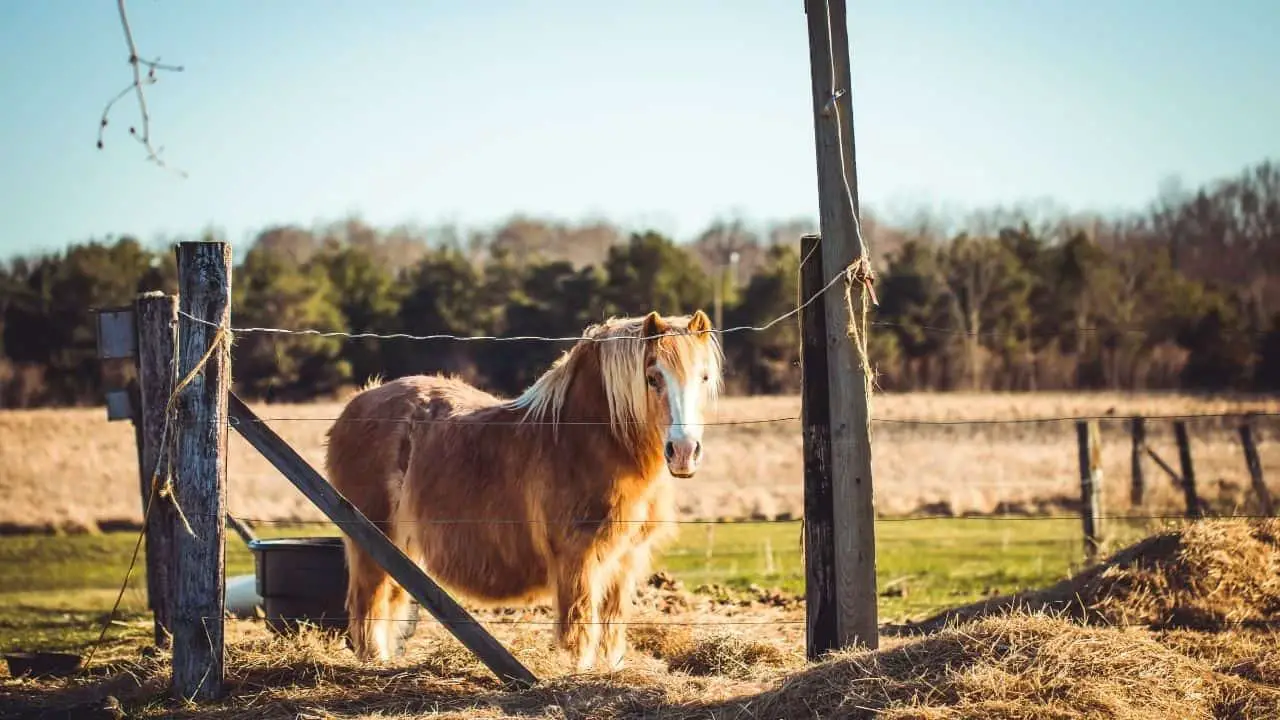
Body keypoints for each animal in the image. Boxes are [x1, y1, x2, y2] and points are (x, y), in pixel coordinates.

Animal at [325, 308, 727, 666]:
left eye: (705, 378)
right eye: (652, 377)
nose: (684, 451)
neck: (585, 440)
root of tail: (356, 403)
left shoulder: (625, 559)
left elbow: (611, 630)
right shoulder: (577, 560)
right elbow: (578, 630)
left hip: (399, 548)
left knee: (389, 599)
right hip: (373, 540)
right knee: (368, 603)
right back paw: (375, 663)